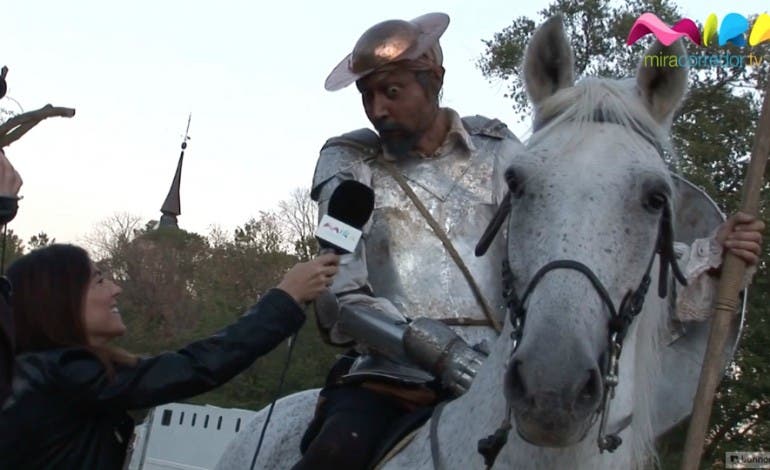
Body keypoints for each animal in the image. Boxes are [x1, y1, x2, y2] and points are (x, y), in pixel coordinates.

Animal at [216, 16, 688, 468]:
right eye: (516, 183)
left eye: (657, 197)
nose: (551, 387)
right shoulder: (339, 168)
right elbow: (342, 299)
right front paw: (462, 364)